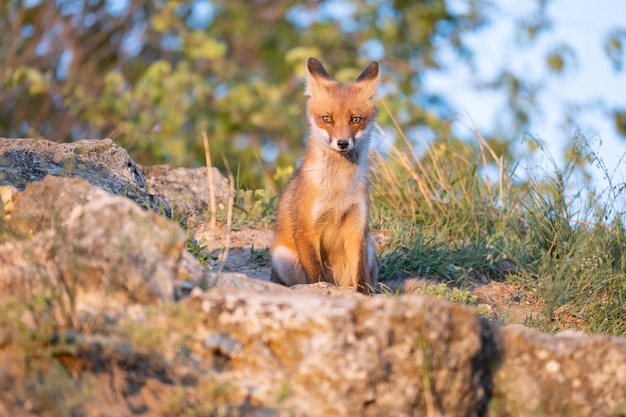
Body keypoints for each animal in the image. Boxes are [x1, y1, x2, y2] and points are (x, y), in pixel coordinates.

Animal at [270, 57, 378, 292]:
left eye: (355, 119)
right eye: (327, 119)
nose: (342, 143)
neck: (339, 192)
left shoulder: (357, 229)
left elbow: (362, 276)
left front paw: (365, 296)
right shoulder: (307, 230)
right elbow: (316, 274)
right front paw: (321, 289)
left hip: (371, 249)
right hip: (282, 258)